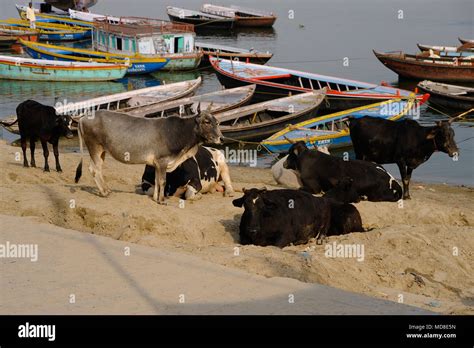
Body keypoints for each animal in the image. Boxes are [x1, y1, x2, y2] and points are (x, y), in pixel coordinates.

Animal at [74, 104, 222, 204]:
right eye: (207, 122)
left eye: (217, 122)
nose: (221, 137)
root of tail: (83, 118)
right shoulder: (162, 161)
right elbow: (162, 181)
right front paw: (162, 200)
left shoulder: (156, 163)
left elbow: (156, 181)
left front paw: (156, 198)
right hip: (94, 147)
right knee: (94, 169)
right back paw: (104, 192)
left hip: (102, 151)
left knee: (98, 168)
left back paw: (106, 190)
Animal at [232, 188, 362, 247]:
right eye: (245, 206)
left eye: (262, 207)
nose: (252, 229)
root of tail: (322, 199)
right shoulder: (243, 235)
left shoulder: (286, 235)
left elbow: (276, 244)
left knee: (322, 232)